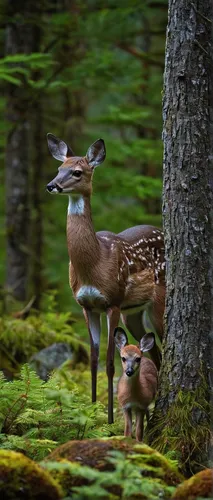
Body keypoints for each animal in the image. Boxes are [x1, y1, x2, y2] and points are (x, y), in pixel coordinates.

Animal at [45, 135, 165, 424]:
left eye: (77, 172)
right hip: (133, 314)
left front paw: (109, 421)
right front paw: (89, 413)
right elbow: (93, 361)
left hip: (157, 300)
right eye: (59, 168)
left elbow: (110, 363)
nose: (51, 185)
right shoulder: (87, 305)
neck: (95, 262)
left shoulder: (113, 301)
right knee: (153, 352)